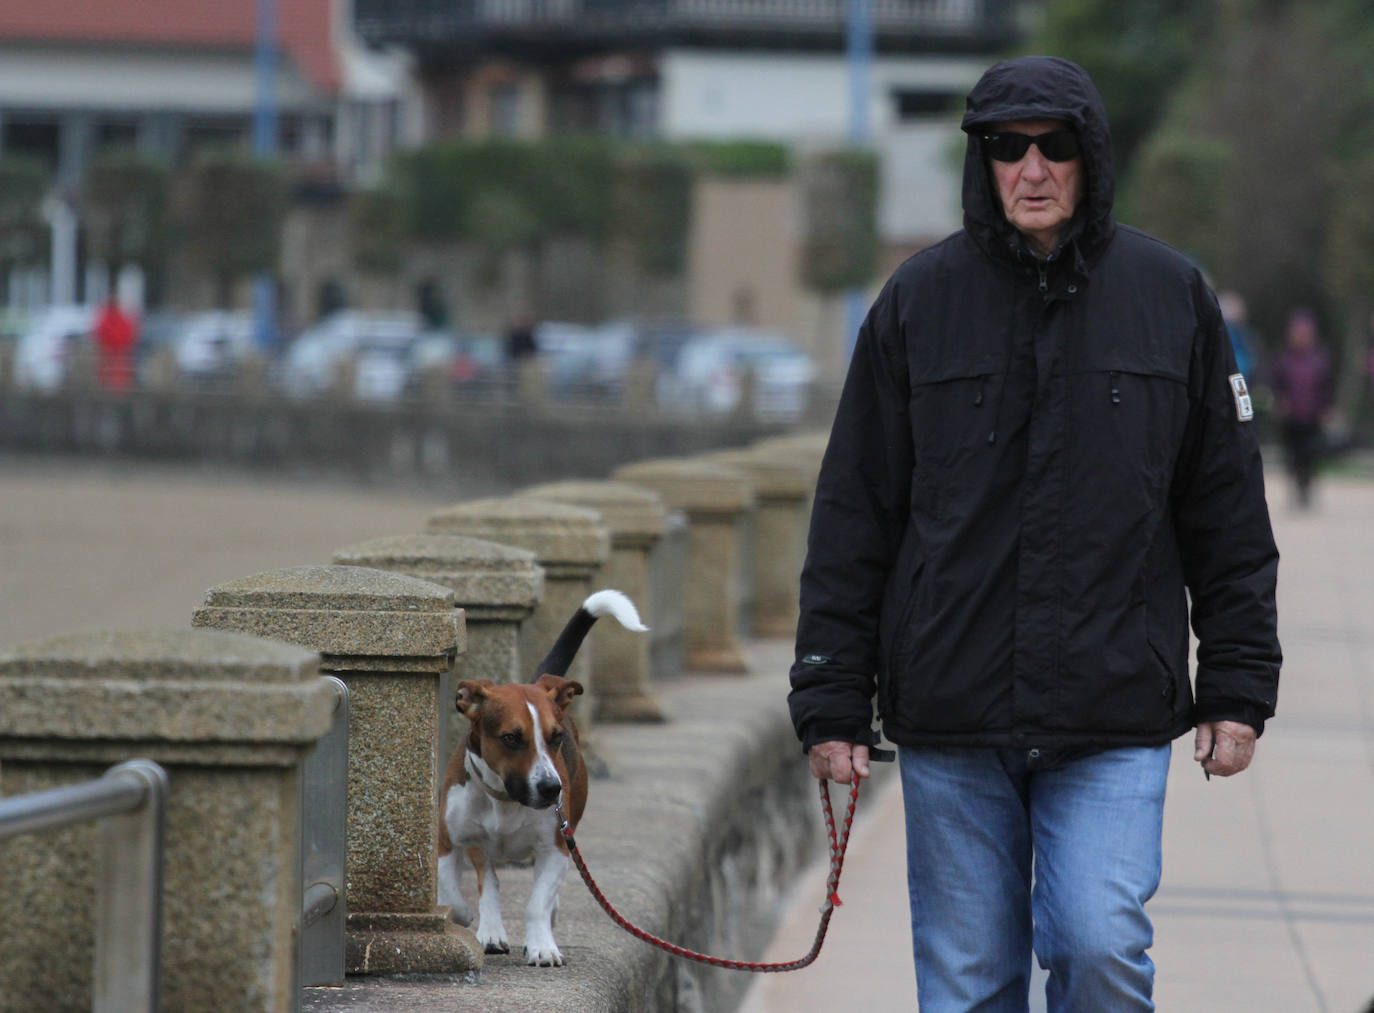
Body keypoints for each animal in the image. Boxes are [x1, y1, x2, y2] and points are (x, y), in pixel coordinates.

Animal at [439, 588, 648, 967]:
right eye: (511, 738)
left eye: (555, 737)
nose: (552, 789)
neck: (506, 800)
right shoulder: (448, 840)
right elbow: (459, 895)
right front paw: (470, 921)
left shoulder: (555, 848)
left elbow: (537, 902)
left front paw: (542, 946)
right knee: (487, 881)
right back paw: (490, 929)